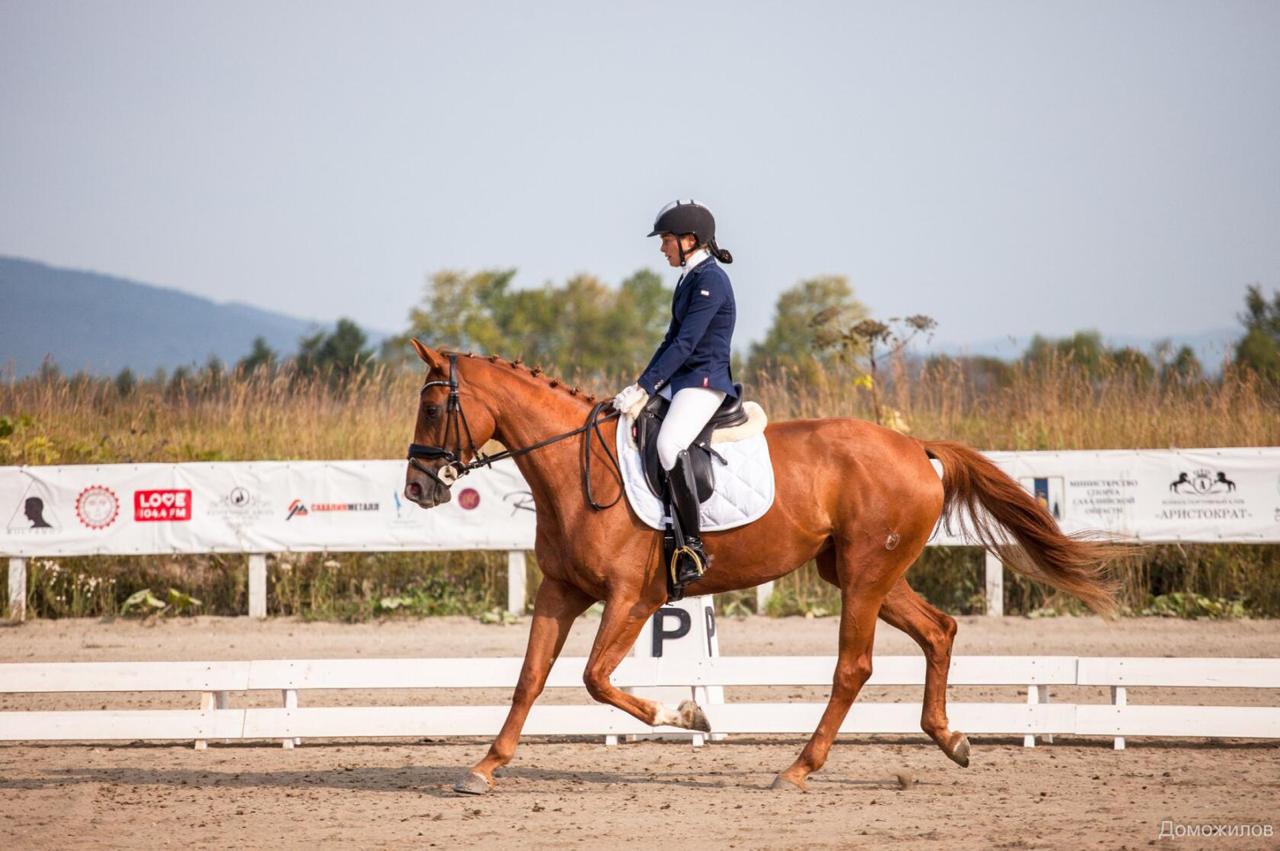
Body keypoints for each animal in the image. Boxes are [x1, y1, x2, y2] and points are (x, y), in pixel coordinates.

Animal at [401, 342, 1121, 793]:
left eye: (434, 407)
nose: (416, 489)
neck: (579, 471)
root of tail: (915, 446)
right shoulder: (561, 589)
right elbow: (529, 679)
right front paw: (484, 767)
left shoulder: (632, 598)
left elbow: (596, 678)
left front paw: (691, 715)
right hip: (864, 574)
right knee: (938, 630)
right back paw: (950, 739)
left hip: (865, 575)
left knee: (854, 667)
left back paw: (799, 768)